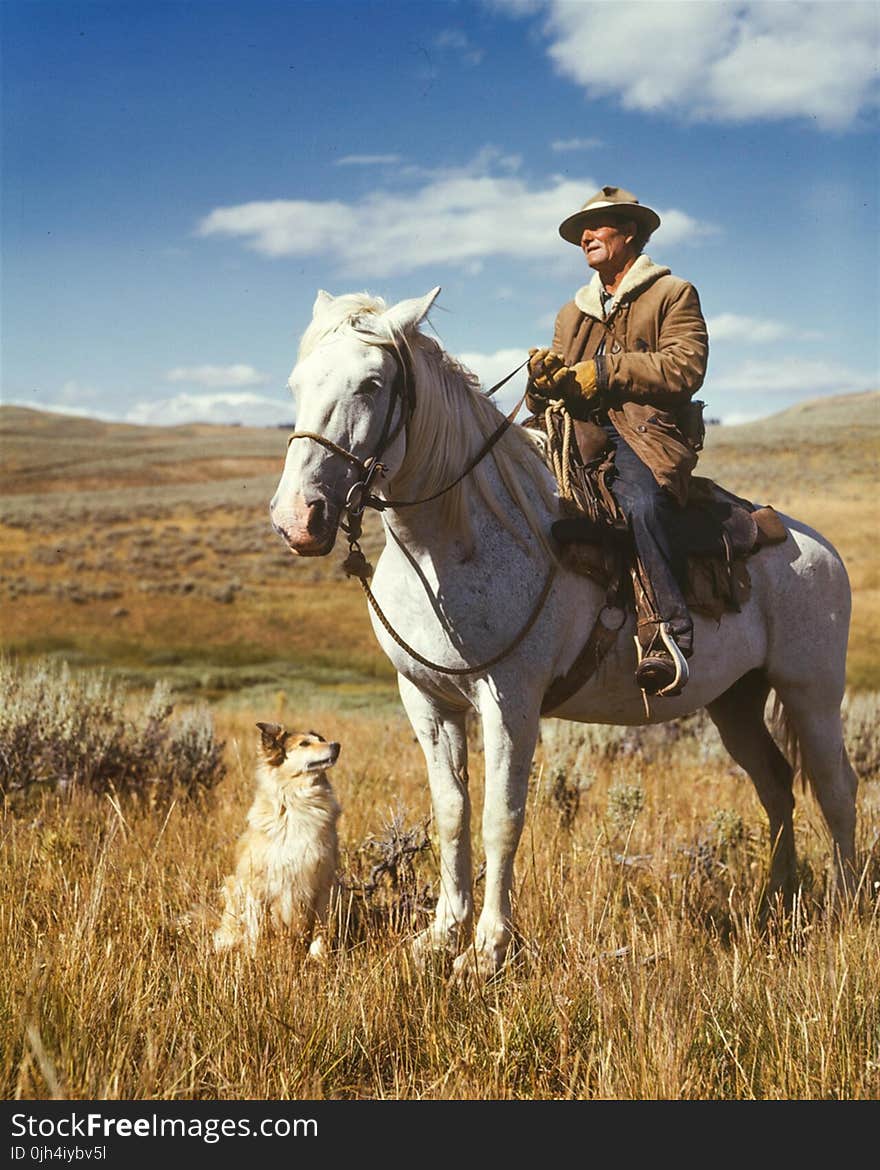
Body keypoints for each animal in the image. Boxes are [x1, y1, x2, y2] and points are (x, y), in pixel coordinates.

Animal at [212, 720, 344, 959]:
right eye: (304, 744)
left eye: (321, 739)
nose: (336, 745)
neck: (297, 802)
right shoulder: (257, 884)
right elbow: (255, 932)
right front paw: (254, 959)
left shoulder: (324, 882)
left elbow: (321, 930)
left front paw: (318, 958)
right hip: (233, 886)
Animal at [270, 285, 861, 978]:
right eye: (295, 383)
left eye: (370, 383)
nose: (298, 518)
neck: (458, 538)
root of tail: (814, 545)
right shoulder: (426, 700)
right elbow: (451, 813)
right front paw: (441, 935)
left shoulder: (511, 699)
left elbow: (501, 818)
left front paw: (487, 950)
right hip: (735, 700)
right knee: (776, 787)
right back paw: (777, 904)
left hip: (811, 691)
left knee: (836, 788)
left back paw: (844, 908)